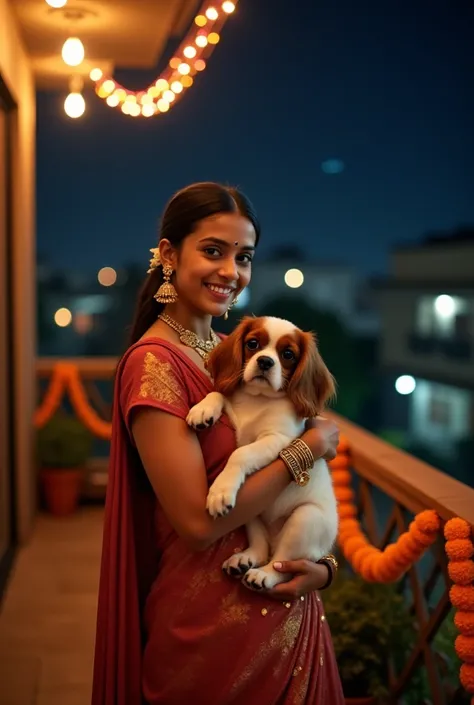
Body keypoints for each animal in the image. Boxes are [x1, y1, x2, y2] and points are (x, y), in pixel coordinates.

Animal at [185, 314, 336, 588]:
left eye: (288, 354)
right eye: (253, 344)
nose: (265, 361)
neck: (258, 398)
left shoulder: (278, 439)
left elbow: (240, 454)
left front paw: (219, 492)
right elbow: (219, 393)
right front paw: (203, 409)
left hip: (305, 519)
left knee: (282, 563)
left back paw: (263, 574)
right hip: (252, 515)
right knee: (261, 546)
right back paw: (244, 559)